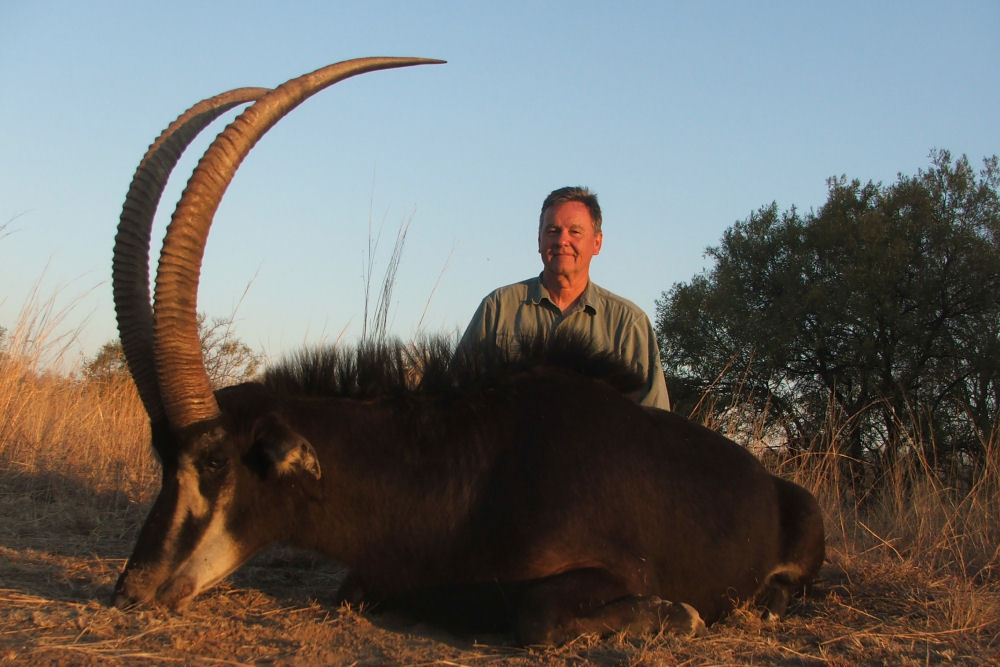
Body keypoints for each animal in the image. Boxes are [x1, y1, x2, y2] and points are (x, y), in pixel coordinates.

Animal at [113, 58, 824, 648]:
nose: (131, 590)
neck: (465, 471)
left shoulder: (613, 568)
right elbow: (353, 592)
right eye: (161, 457)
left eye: (213, 460)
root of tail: (769, 480)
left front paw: (681, 613)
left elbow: (537, 617)